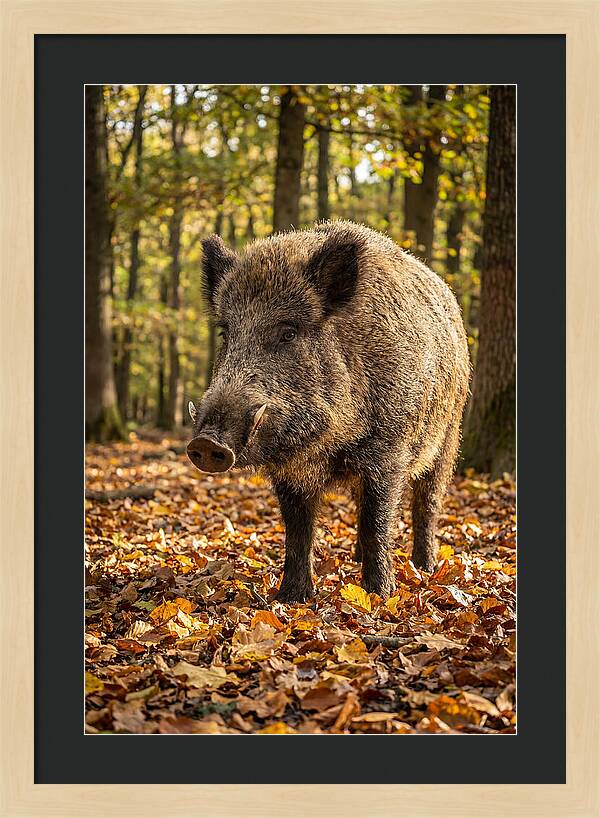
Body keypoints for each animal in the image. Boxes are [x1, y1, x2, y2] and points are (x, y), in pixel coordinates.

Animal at [187, 221, 470, 603]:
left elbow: (377, 522)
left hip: (449, 434)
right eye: (225, 333)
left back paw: (424, 567)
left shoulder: (388, 451)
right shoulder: (289, 472)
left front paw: (379, 596)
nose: (205, 443)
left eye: (288, 332)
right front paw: (291, 598)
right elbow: (298, 530)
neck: (326, 445)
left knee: (427, 502)